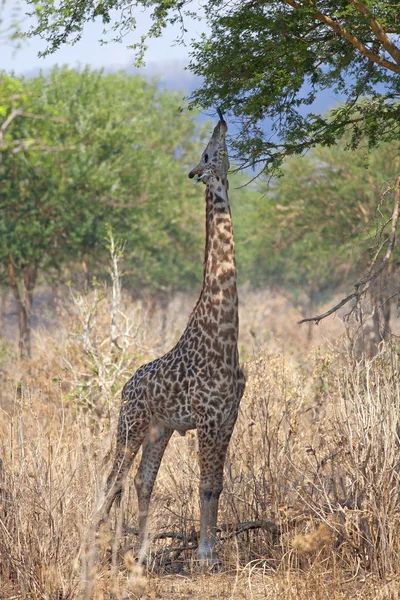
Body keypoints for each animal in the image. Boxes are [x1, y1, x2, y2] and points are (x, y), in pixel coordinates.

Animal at [98, 111, 245, 568]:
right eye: (208, 154)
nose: (222, 118)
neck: (226, 333)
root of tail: (124, 386)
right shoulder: (209, 418)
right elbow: (206, 484)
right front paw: (206, 555)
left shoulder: (228, 416)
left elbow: (216, 484)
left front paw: (209, 551)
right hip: (130, 424)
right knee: (113, 479)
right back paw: (97, 547)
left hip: (158, 429)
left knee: (141, 481)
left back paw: (141, 553)